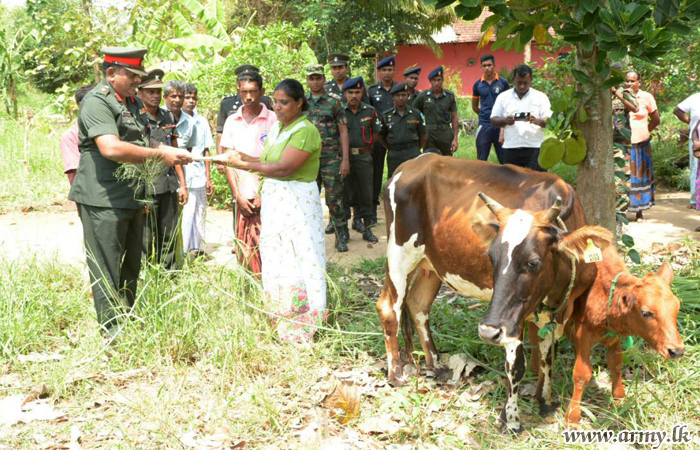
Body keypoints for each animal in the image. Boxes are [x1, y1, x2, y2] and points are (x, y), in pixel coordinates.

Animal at [378, 155, 612, 432]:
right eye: (491, 257)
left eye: (533, 262)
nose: (487, 332)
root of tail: (411, 163)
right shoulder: (509, 318)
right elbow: (516, 366)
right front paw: (510, 419)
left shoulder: (548, 311)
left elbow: (547, 355)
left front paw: (545, 402)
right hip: (399, 255)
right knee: (389, 307)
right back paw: (396, 374)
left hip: (432, 265)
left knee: (417, 304)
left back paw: (435, 365)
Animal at [564, 246, 684, 426]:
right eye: (646, 312)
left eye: (677, 307)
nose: (677, 351)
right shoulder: (583, 333)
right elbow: (582, 374)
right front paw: (572, 416)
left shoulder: (614, 335)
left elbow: (616, 363)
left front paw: (619, 399)